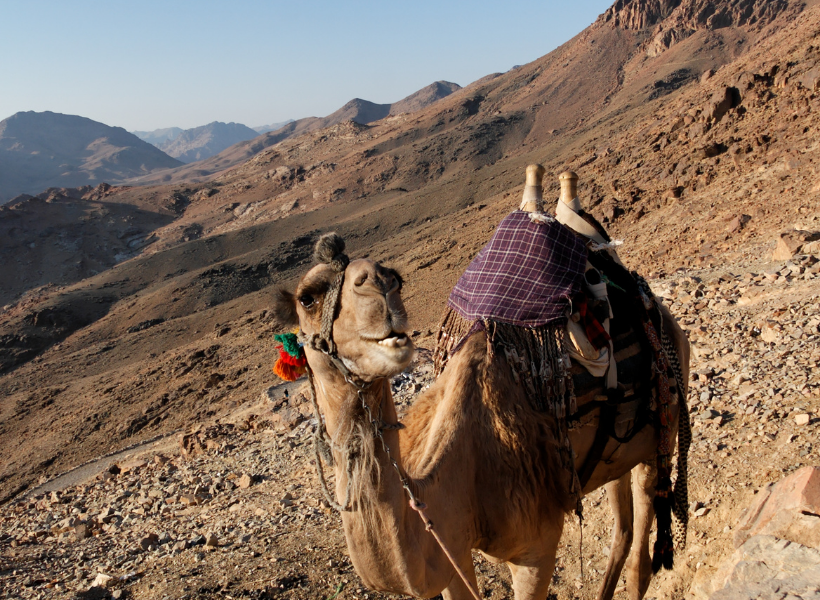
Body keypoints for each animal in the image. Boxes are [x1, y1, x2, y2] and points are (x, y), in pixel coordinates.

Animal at [272, 186, 688, 600]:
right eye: (308, 297)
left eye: (397, 279)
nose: (379, 282)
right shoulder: (451, 552)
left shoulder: (536, 547)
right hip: (616, 452)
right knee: (622, 527)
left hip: (662, 426)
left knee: (641, 548)